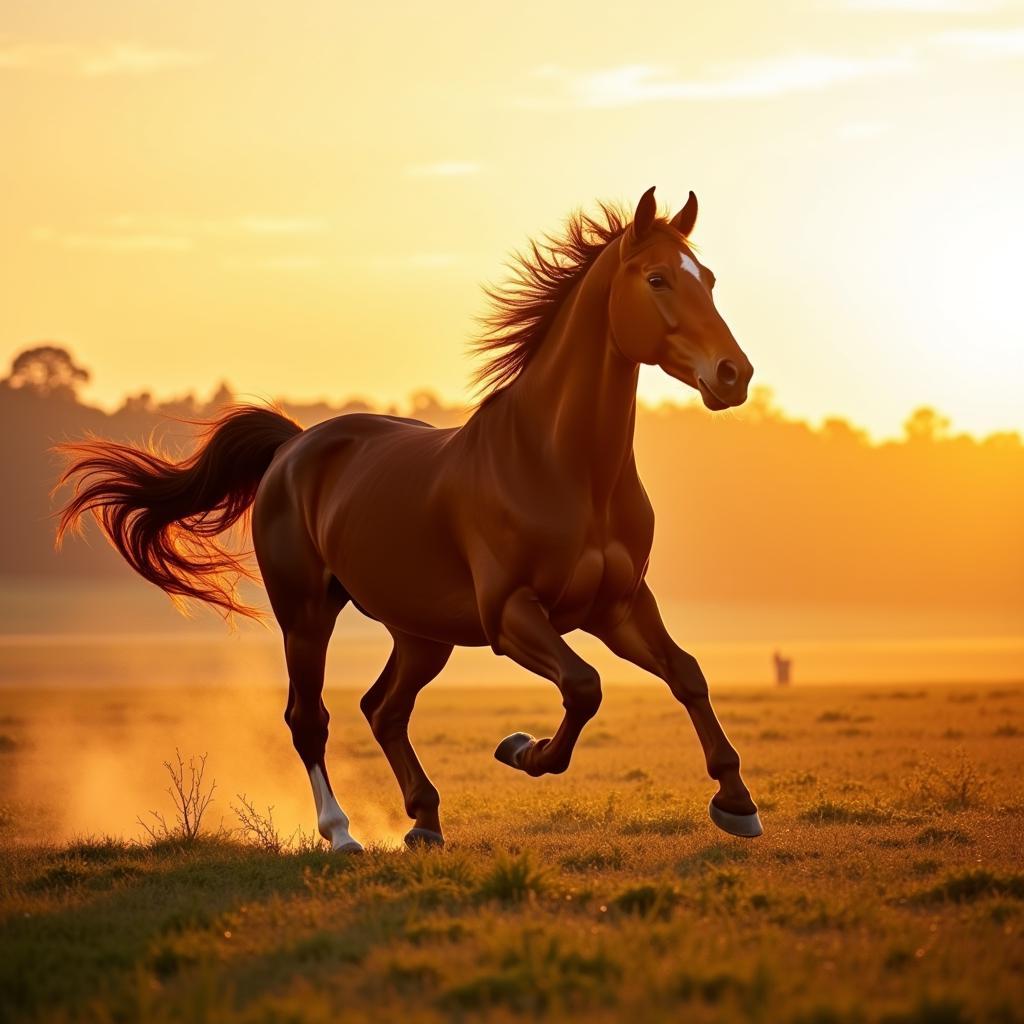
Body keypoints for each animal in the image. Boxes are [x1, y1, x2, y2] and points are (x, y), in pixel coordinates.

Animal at [56, 184, 761, 847]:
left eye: (709, 278)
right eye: (657, 278)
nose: (735, 375)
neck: (561, 467)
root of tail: (292, 446)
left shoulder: (618, 606)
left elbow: (686, 675)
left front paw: (737, 803)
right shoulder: (510, 615)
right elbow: (584, 685)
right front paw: (522, 749)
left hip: (422, 634)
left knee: (383, 709)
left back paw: (424, 820)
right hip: (306, 615)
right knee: (309, 719)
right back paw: (342, 833)